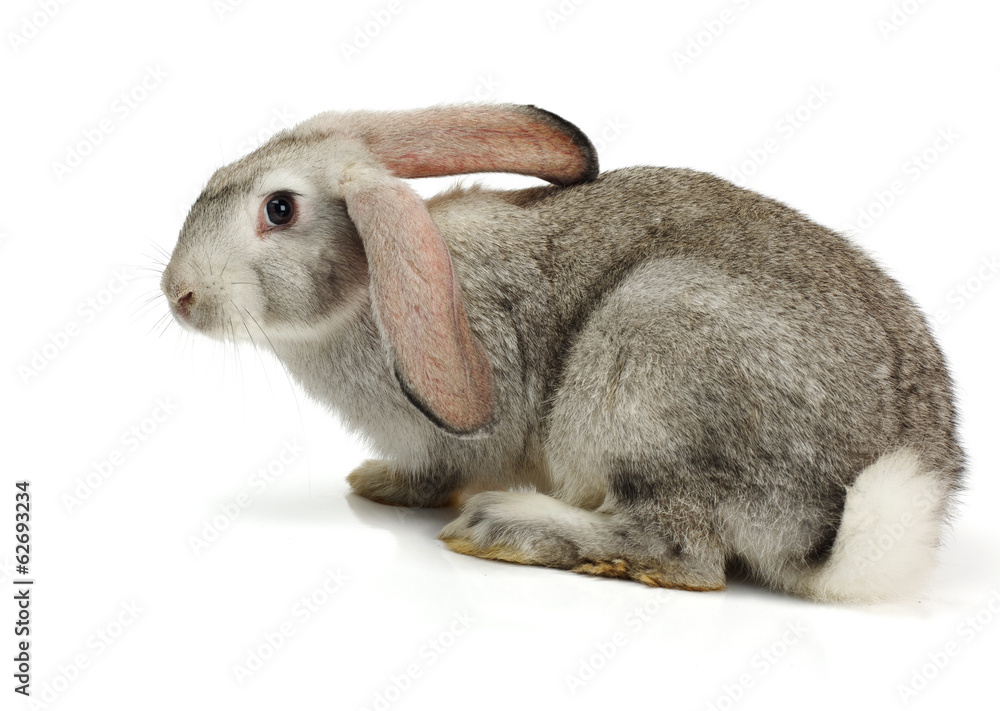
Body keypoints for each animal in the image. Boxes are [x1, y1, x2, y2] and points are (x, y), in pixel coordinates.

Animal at [161, 103, 963, 603]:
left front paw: (383, 483)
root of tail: (832, 532)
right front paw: (374, 481)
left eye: (280, 209)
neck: (370, 284)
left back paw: (504, 527)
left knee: (680, 554)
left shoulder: (458, 432)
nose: (179, 294)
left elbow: (441, 469)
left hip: (647, 369)